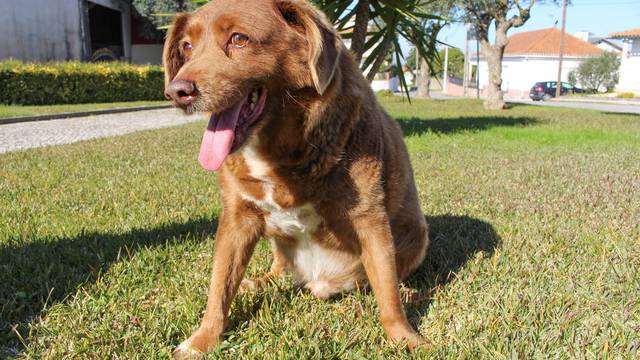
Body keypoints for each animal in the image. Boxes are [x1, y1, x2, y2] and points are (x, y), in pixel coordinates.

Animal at [162, 0, 428, 358]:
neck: (278, 151)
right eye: (187, 47)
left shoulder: (369, 218)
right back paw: (257, 282)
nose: (177, 92)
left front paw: (405, 338)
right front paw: (203, 340)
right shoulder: (237, 218)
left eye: (239, 39)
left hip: (417, 236)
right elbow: (219, 286)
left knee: (388, 278)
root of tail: (320, 282)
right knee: (277, 272)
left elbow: (387, 292)